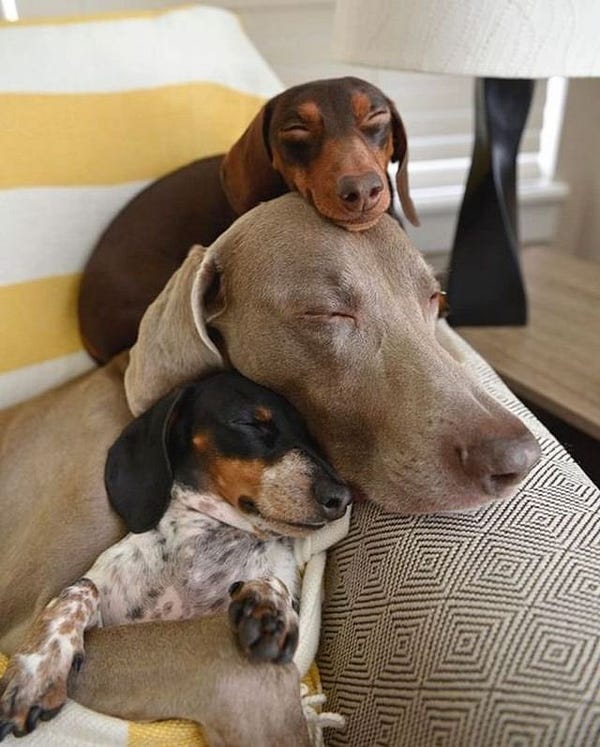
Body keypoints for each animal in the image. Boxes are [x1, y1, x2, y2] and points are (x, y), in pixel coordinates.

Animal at [0, 372, 352, 740]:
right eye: (251, 423)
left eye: (310, 438)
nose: (341, 497)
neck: (209, 537)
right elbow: (82, 590)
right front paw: (38, 669)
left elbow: (273, 582)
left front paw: (268, 608)